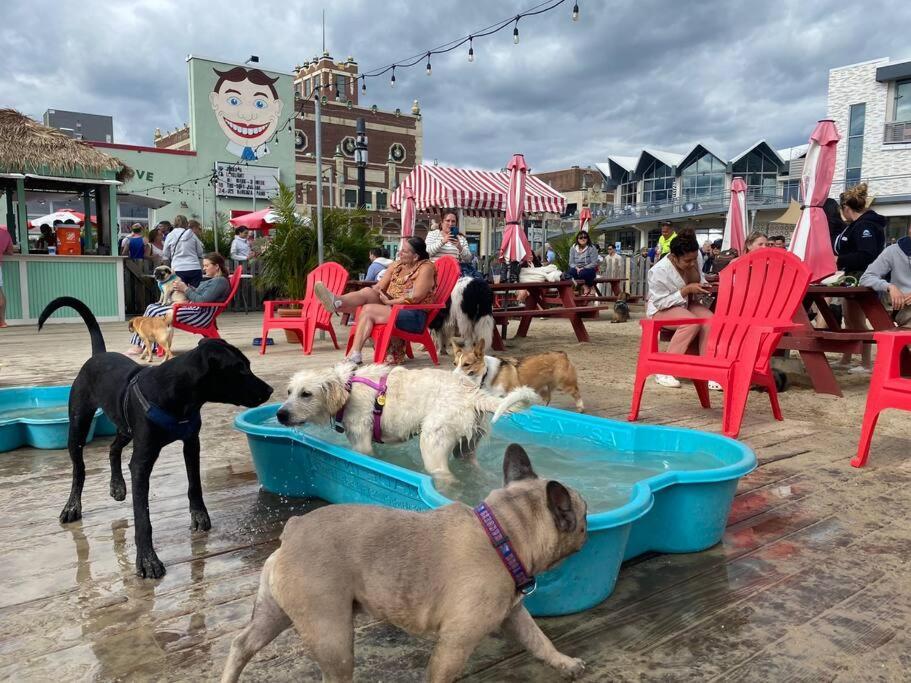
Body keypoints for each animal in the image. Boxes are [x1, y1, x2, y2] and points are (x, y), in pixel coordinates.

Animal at [38, 296, 274, 580]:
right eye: (240, 369)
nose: (270, 390)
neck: (175, 395)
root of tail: (98, 356)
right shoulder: (142, 462)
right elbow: (143, 517)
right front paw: (147, 560)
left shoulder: (191, 443)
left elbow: (195, 484)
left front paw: (199, 515)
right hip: (79, 424)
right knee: (79, 469)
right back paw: (72, 506)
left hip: (125, 428)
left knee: (113, 448)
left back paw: (117, 486)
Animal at [224, 446, 588, 680]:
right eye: (584, 514)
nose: (586, 522)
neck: (505, 534)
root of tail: (294, 528)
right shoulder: (455, 643)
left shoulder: (514, 615)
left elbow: (538, 640)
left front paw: (563, 662)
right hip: (330, 632)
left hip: (276, 612)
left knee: (243, 644)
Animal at [454, 338, 584, 412]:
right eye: (455, 363)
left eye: (466, 364)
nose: (453, 375)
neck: (487, 373)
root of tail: (562, 354)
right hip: (541, 387)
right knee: (547, 398)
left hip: (565, 384)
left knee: (577, 393)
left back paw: (580, 408)